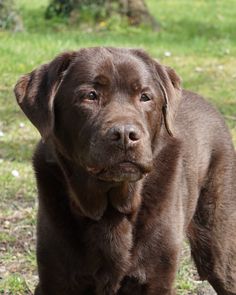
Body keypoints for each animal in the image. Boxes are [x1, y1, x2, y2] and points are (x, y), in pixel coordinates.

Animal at [14, 48, 236, 295]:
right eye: (90, 95)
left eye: (145, 96)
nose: (125, 135)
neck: (110, 209)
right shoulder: (57, 277)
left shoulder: (157, 278)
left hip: (218, 245)